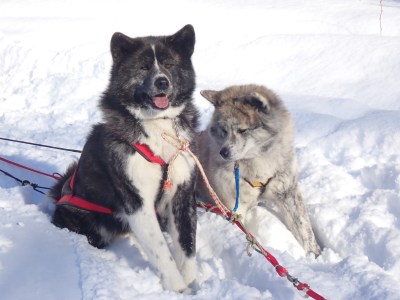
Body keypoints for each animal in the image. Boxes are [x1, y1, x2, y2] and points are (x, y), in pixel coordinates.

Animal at [50, 25, 200, 292]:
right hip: (87, 219)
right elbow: (162, 253)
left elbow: (187, 247)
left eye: (169, 64)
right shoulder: (137, 201)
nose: (162, 81)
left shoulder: (182, 194)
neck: (157, 125)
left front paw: (193, 286)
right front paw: (178, 289)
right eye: (144, 67)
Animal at [197, 84, 322, 255]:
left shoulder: (287, 191)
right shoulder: (233, 206)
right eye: (224, 130)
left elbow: (305, 231)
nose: (223, 152)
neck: (257, 163)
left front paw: (314, 255)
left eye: (242, 130)